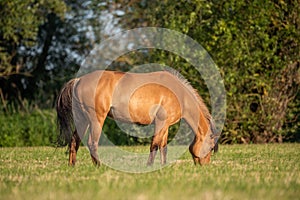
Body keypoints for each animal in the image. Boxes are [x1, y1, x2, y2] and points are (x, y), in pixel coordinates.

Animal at [55, 69, 218, 166]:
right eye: (210, 147)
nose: (204, 166)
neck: (179, 93)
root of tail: (78, 80)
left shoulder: (165, 125)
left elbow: (163, 146)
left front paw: (163, 166)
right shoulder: (160, 123)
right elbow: (154, 145)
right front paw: (149, 166)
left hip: (82, 121)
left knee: (74, 141)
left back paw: (72, 166)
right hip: (96, 120)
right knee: (92, 143)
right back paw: (99, 167)